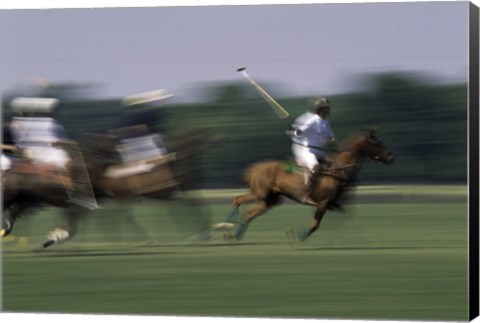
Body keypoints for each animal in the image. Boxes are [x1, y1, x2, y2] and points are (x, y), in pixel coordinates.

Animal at [219, 129, 396, 243]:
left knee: (248, 214)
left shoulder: (333, 203)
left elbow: (349, 217)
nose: (391, 157)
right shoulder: (323, 202)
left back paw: (233, 235)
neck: (337, 170)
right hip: (259, 193)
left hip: (270, 200)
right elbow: (315, 225)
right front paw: (296, 235)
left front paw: (359, 239)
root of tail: (254, 168)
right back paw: (226, 228)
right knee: (237, 200)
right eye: (378, 143)